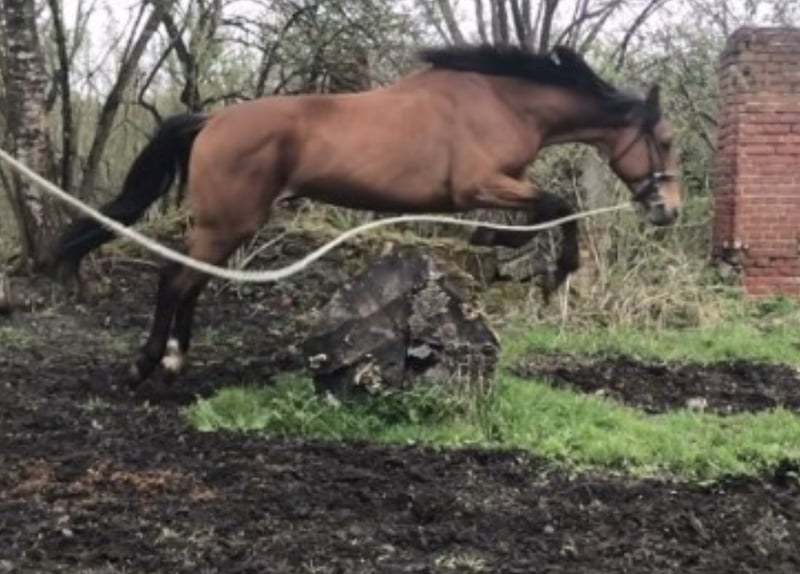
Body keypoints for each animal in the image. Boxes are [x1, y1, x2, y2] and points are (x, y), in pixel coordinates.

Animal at [50, 44, 682, 387]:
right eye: (667, 141)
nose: (668, 212)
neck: (501, 101)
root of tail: (210, 121)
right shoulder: (482, 183)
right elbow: (560, 205)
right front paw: (551, 267)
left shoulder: (494, 188)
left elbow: (539, 211)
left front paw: (496, 243)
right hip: (226, 224)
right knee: (175, 279)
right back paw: (148, 365)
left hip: (225, 227)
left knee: (191, 282)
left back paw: (176, 361)